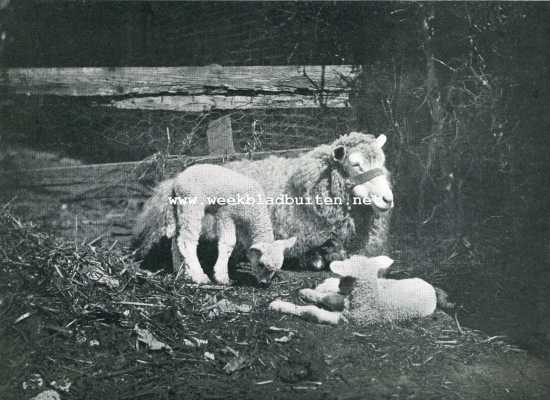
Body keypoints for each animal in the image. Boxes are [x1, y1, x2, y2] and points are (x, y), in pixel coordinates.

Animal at [133, 164, 298, 286]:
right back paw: (198, 276)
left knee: (176, 239)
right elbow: (228, 243)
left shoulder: (243, 225)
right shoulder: (226, 213)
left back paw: (181, 271)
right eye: (262, 264)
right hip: (191, 203)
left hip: (179, 207)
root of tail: (176, 181)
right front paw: (222, 276)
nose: (264, 283)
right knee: (186, 241)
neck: (254, 213)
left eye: (276, 269)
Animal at [270, 256, 438, 324]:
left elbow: (312, 311)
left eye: (346, 276)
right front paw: (307, 292)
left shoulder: (345, 318)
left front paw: (279, 305)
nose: (341, 285)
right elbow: (328, 298)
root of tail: (430, 288)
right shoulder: (345, 302)